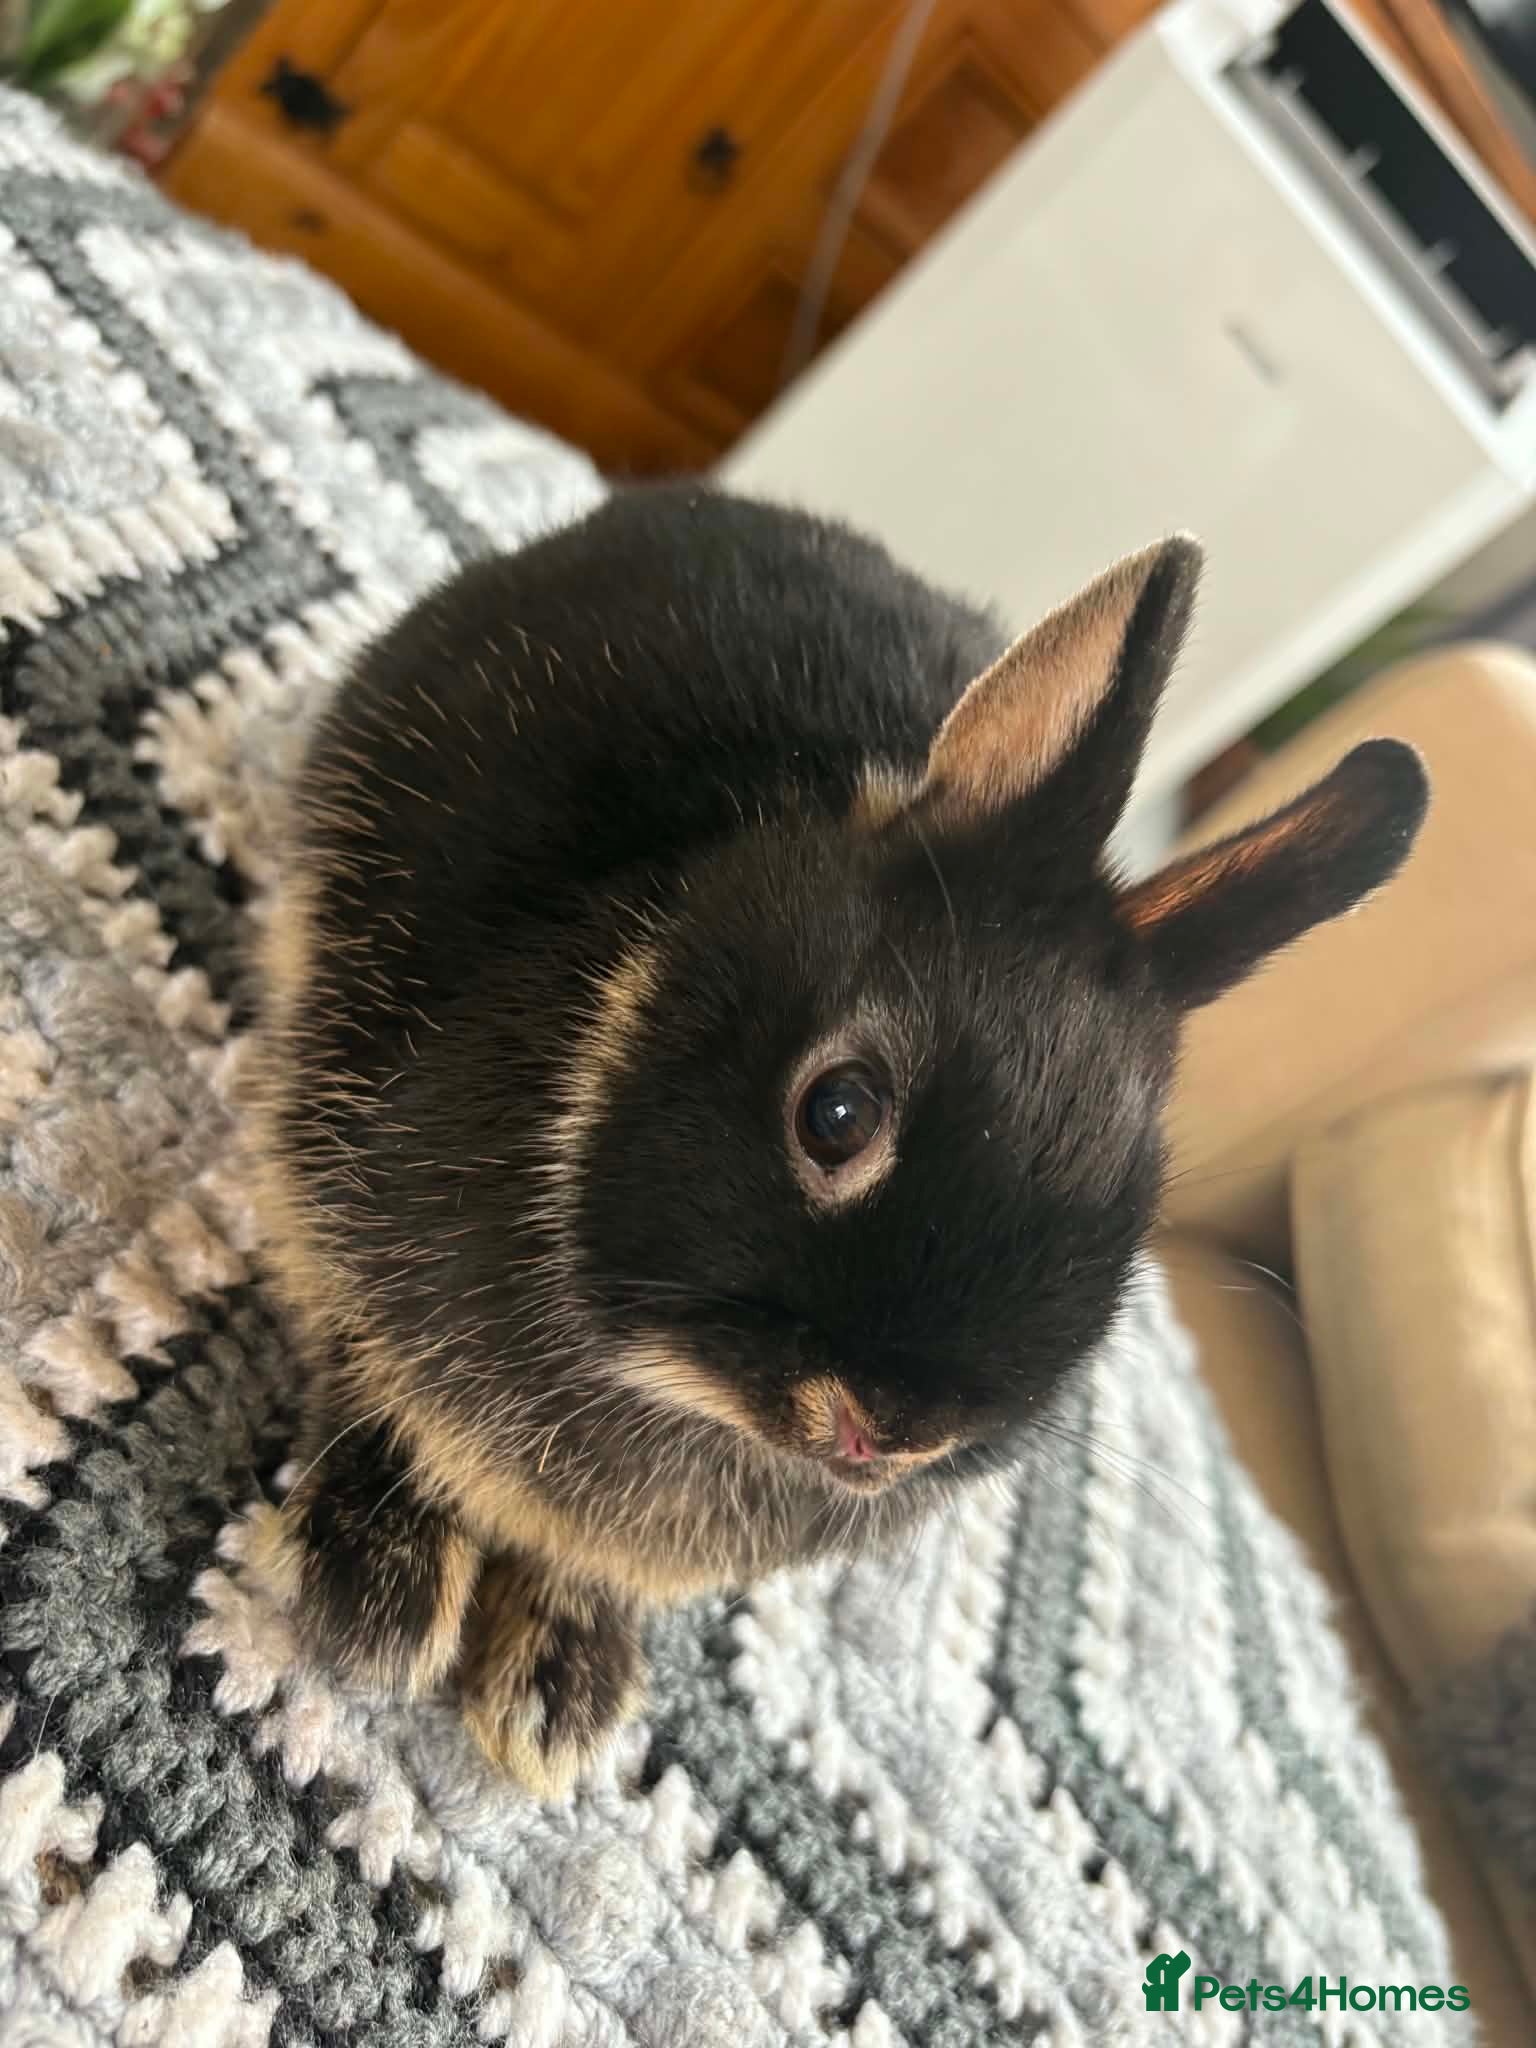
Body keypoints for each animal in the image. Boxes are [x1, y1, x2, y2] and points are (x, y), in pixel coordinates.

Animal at [248, 481, 1428, 1794]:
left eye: (1134, 1214)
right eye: (840, 1111)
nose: (892, 1430)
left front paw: (558, 1682)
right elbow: (370, 1374)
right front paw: (376, 1592)